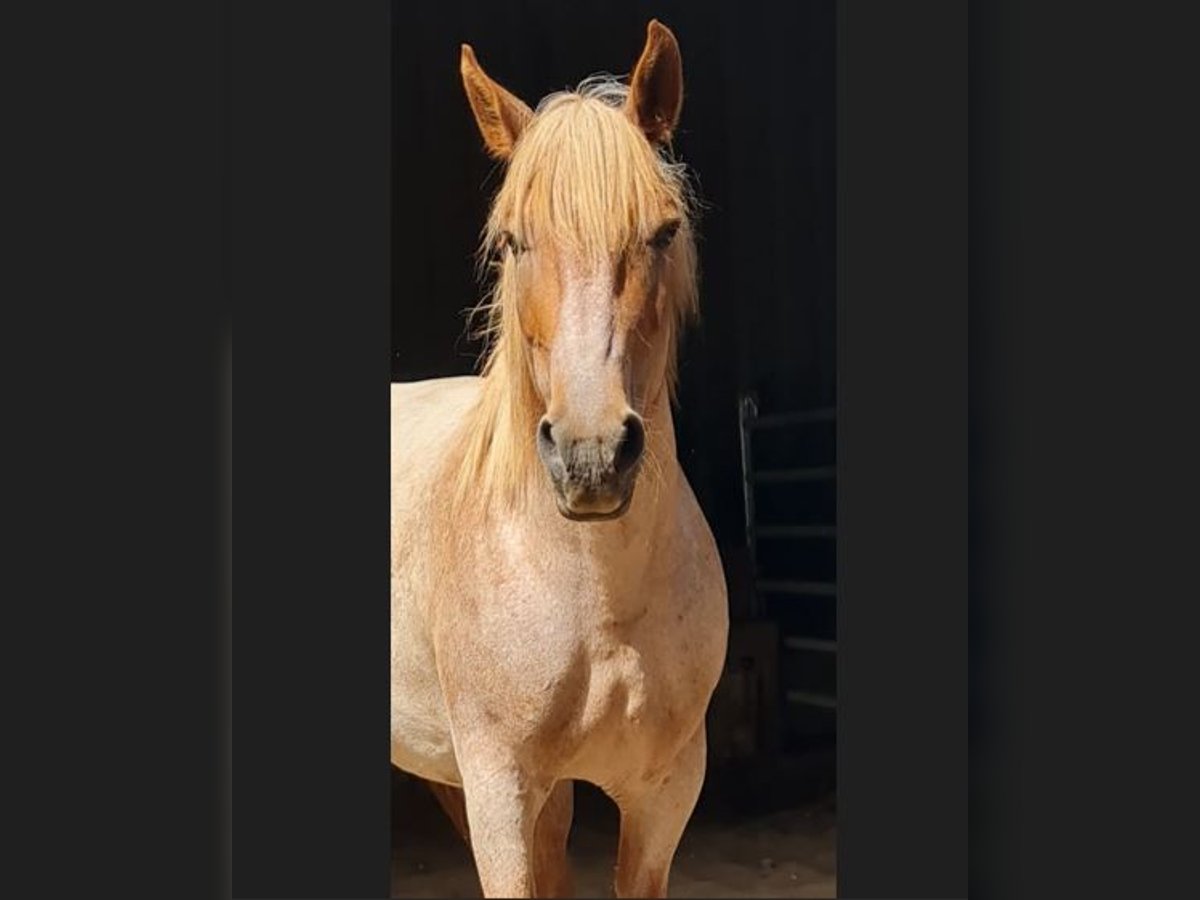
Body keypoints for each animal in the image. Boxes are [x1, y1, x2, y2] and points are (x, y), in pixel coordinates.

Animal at [393, 19, 724, 897]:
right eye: (513, 241)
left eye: (663, 231)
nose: (591, 457)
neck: (595, 591)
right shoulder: (501, 792)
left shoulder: (662, 797)